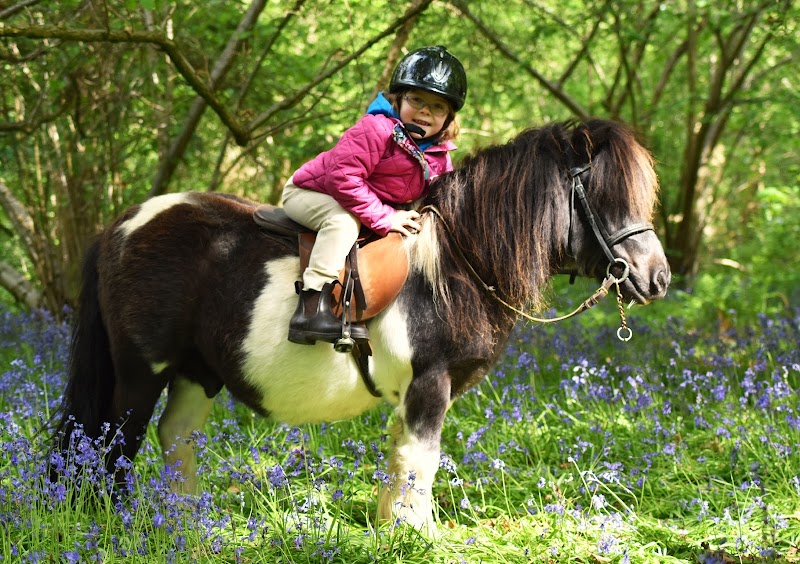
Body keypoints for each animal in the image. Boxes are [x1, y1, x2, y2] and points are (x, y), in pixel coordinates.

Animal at [52, 119, 670, 534]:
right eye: (605, 197)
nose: (657, 277)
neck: (456, 260)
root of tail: (122, 225)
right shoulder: (430, 383)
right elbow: (421, 461)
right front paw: (418, 535)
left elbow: (401, 461)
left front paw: (393, 528)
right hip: (141, 371)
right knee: (111, 446)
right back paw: (112, 524)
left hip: (195, 372)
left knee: (174, 436)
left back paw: (187, 525)